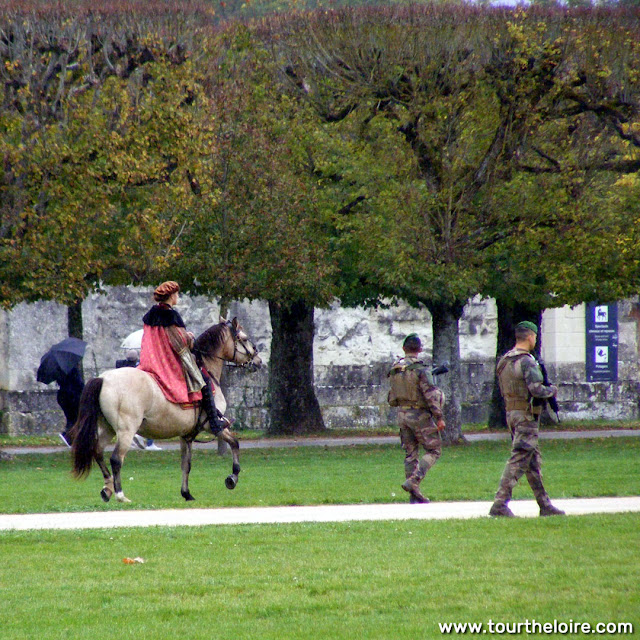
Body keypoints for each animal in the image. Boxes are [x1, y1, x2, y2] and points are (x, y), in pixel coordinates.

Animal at [70, 318, 260, 502]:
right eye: (244, 339)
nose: (258, 361)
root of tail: (103, 379)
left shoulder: (186, 435)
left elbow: (186, 465)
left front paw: (186, 493)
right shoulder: (213, 426)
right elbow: (234, 443)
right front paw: (232, 478)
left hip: (108, 428)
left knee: (98, 451)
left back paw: (107, 489)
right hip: (126, 430)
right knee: (116, 459)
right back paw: (120, 494)